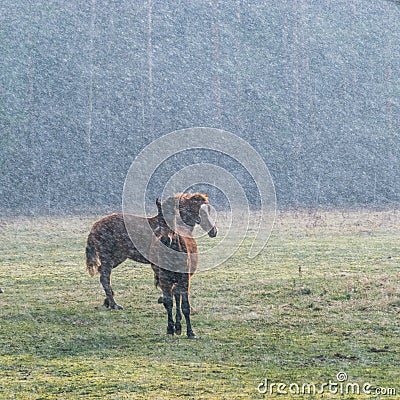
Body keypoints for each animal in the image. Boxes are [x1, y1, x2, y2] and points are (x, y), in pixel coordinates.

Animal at [85, 192, 217, 310]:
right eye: (200, 210)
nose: (214, 231)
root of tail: (95, 226)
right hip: (108, 257)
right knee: (105, 277)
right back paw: (114, 304)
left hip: (117, 258)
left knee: (102, 273)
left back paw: (108, 301)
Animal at [151, 194, 219, 338]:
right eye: (160, 220)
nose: (213, 231)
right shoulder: (164, 279)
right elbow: (168, 303)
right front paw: (170, 329)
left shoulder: (184, 278)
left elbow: (185, 306)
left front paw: (190, 332)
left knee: (177, 295)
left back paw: (178, 326)